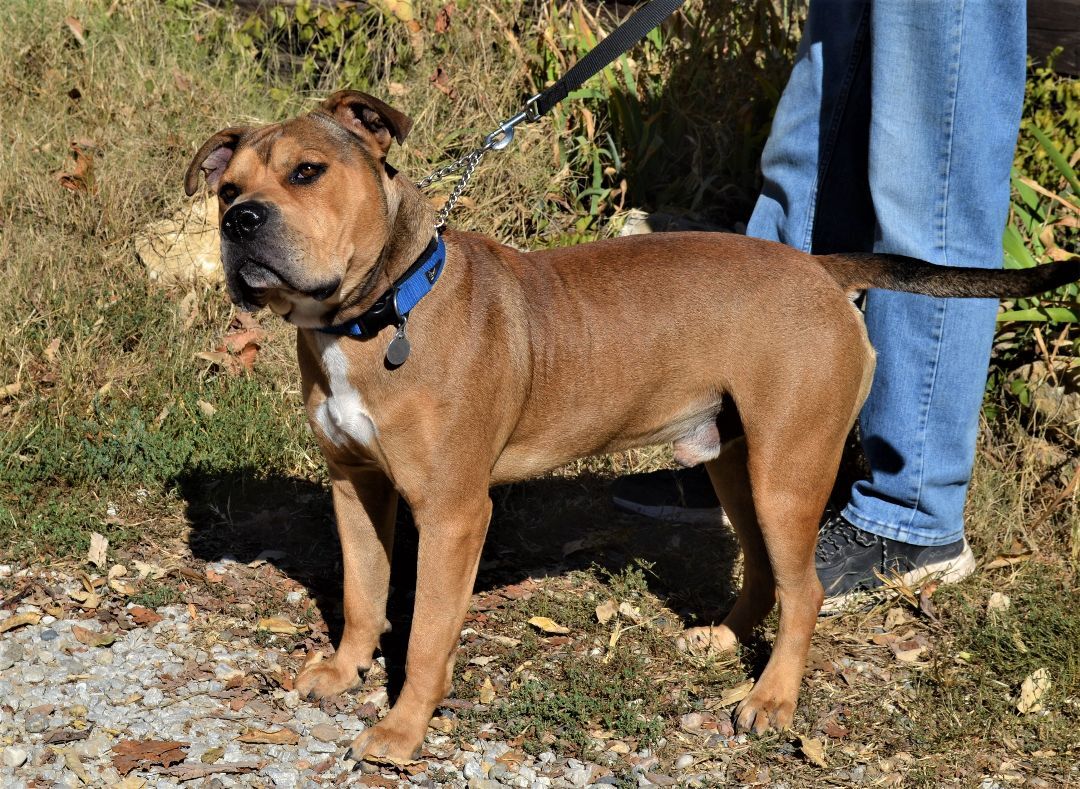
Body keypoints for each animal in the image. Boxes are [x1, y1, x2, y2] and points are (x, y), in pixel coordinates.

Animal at [187, 92, 1080, 764]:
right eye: (228, 190)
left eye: (308, 172)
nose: (242, 222)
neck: (379, 311)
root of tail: (821, 268)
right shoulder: (357, 485)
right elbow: (364, 592)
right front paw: (343, 670)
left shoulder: (451, 513)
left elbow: (428, 633)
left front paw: (402, 729)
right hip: (735, 461)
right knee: (764, 567)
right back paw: (724, 640)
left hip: (789, 470)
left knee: (807, 588)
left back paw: (772, 698)